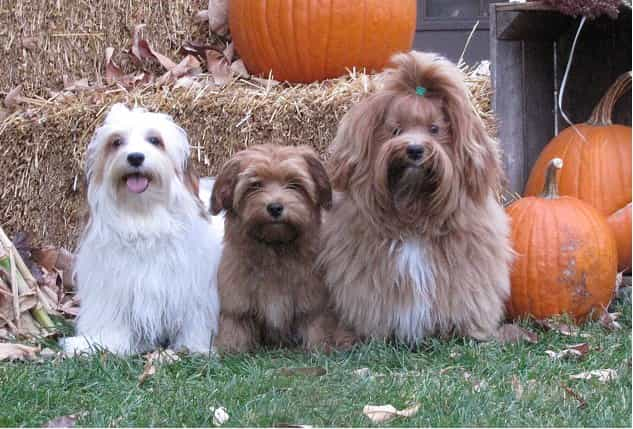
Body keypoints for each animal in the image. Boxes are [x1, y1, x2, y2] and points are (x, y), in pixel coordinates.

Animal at [59, 103, 222, 354]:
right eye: (116, 142)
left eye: (155, 140)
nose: (135, 157)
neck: (143, 217)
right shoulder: (112, 288)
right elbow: (110, 321)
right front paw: (100, 342)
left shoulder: (197, 291)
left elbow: (197, 319)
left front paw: (196, 345)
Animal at [209, 144, 346, 352]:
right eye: (255, 185)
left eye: (295, 184)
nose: (275, 207)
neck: (275, 248)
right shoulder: (237, 302)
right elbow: (235, 328)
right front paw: (231, 350)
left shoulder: (313, 302)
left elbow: (316, 326)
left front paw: (319, 348)